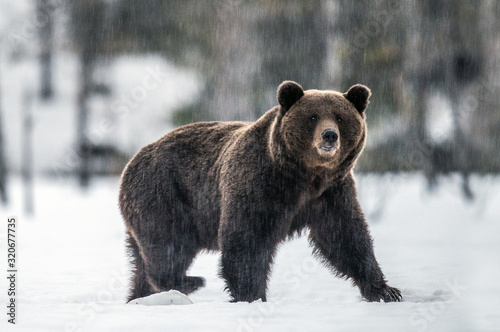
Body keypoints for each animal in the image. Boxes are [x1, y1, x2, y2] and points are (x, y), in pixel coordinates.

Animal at [120, 80, 402, 304]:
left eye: (340, 117)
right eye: (312, 117)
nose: (330, 135)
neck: (304, 176)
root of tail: (132, 161)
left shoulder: (331, 193)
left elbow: (346, 237)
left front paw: (385, 291)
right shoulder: (259, 186)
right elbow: (247, 241)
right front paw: (251, 295)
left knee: (143, 261)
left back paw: (141, 296)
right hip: (165, 195)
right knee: (168, 245)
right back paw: (189, 281)